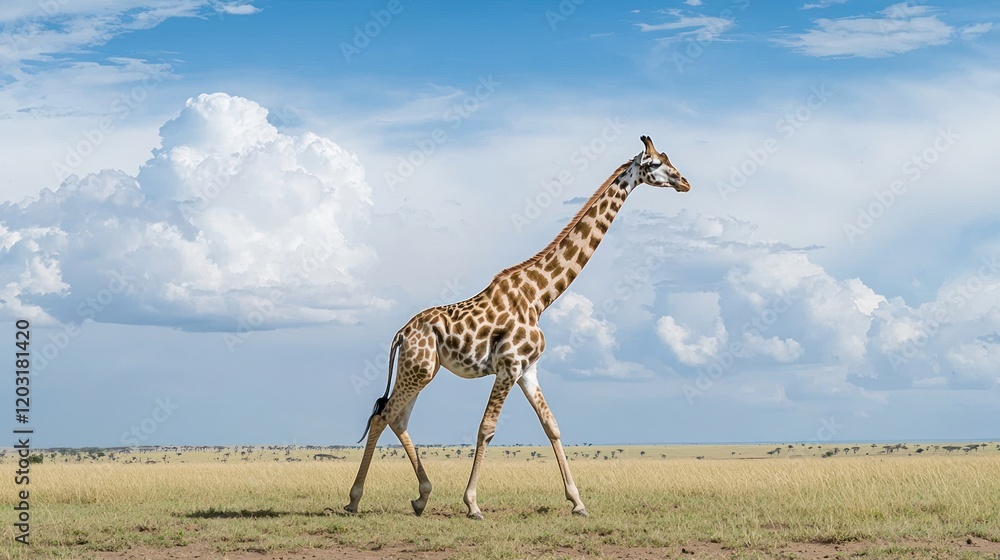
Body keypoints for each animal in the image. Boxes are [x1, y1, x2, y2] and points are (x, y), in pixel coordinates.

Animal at [344, 135, 690, 519]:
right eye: (656, 163)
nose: (685, 182)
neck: (540, 296)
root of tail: (401, 333)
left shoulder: (528, 369)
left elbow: (552, 426)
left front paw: (578, 502)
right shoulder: (508, 365)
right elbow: (487, 428)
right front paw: (473, 504)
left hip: (422, 369)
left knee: (398, 418)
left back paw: (421, 497)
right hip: (417, 369)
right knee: (383, 417)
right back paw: (354, 499)